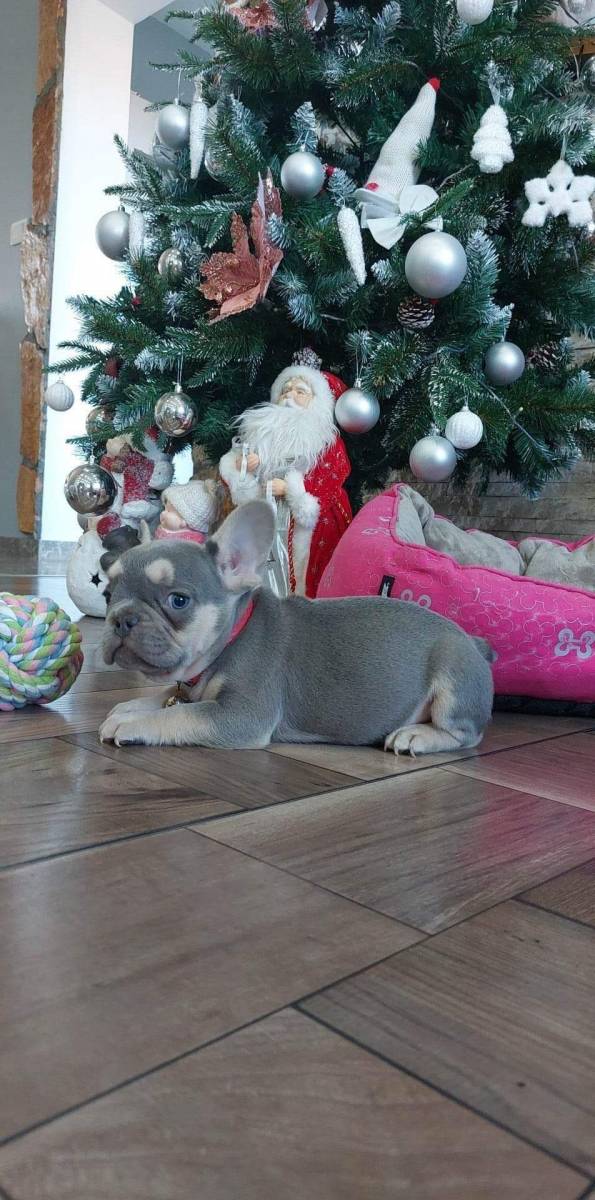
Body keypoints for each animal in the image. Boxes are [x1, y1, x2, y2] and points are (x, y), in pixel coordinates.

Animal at [99, 500, 494, 753]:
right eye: (107, 594)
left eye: (178, 600)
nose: (121, 618)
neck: (230, 639)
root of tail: (474, 643)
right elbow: (164, 698)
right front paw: (130, 707)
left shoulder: (242, 714)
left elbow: (180, 713)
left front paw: (134, 724)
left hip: (454, 679)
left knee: (466, 733)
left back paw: (417, 736)